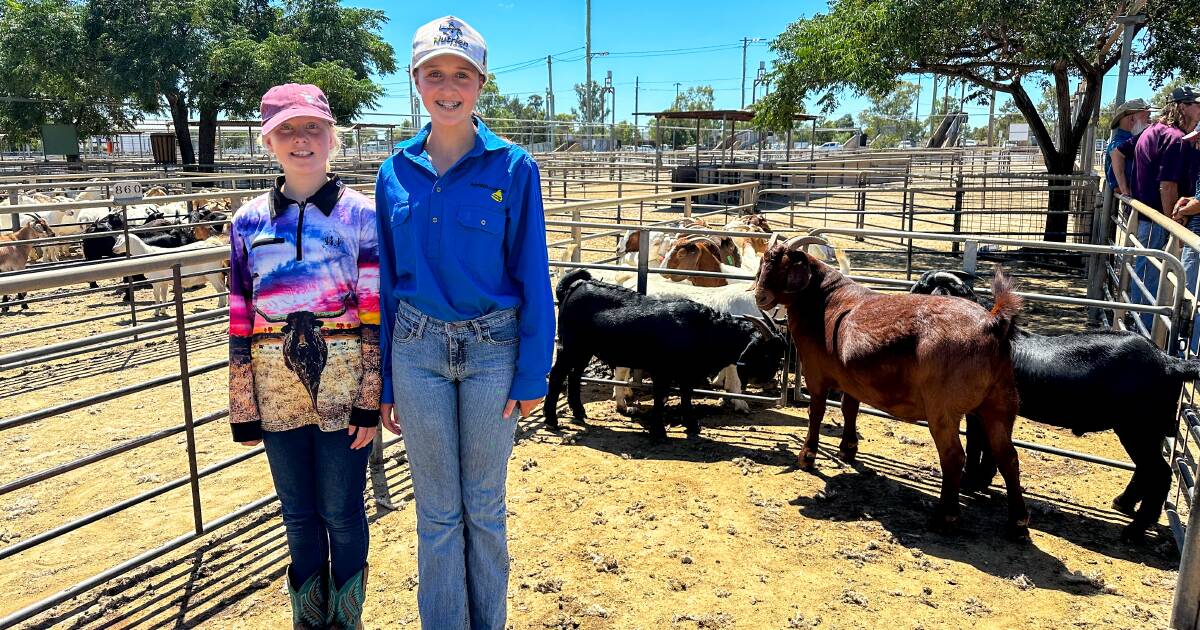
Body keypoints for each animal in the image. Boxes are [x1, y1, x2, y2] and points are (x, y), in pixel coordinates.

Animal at [547, 266, 787, 436]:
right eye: (766, 352)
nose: (766, 379)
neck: (703, 328)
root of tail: (575, 287)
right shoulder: (663, 370)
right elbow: (660, 396)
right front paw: (659, 430)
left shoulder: (687, 373)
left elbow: (686, 397)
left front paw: (692, 425)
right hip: (570, 346)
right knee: (559, 375)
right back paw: (552, 420)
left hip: (584, 350)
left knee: (575, 375)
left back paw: (579, 412)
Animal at [753, 238, 1027, 537]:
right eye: (764, 261)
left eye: (783, 264)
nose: (760, 297)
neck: (824, 300)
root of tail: (993, 322)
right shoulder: (851, 379)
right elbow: (849, 408)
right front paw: (847, 449)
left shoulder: (816, 374)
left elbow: (817, 413)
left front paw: (807, 457)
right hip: (1001, 401)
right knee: (1008, 456)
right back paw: (1018, 524)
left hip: (943, 408)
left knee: (954, 456)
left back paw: (945, 517)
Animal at [907, 267, 1200, 537]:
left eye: (922, 287)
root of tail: (1170, 362)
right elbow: (990, 449)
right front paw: (981, 481)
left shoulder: (978, 412)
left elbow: (976, 444)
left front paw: (971, 482)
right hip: (1147, 429)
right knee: (1147, 469)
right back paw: (1124, 503)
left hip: (1138, 427)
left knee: (1159, 473)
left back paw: (1134, 530)